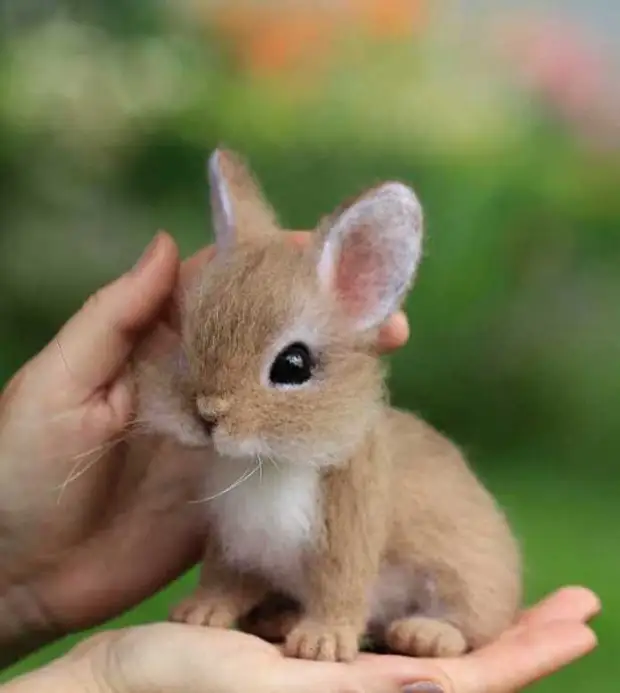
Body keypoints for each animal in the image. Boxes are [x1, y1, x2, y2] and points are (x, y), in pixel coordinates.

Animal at [133, 149, 520, 664]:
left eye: (293, 365)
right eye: (187, 342)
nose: (207, 414)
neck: (272, 461)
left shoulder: (348, 532)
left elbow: (340, 588)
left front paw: (322, 643)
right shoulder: (234, 543)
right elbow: (224, 579)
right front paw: (200, 613)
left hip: (467, 580)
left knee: (473, 625)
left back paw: (424, 635)